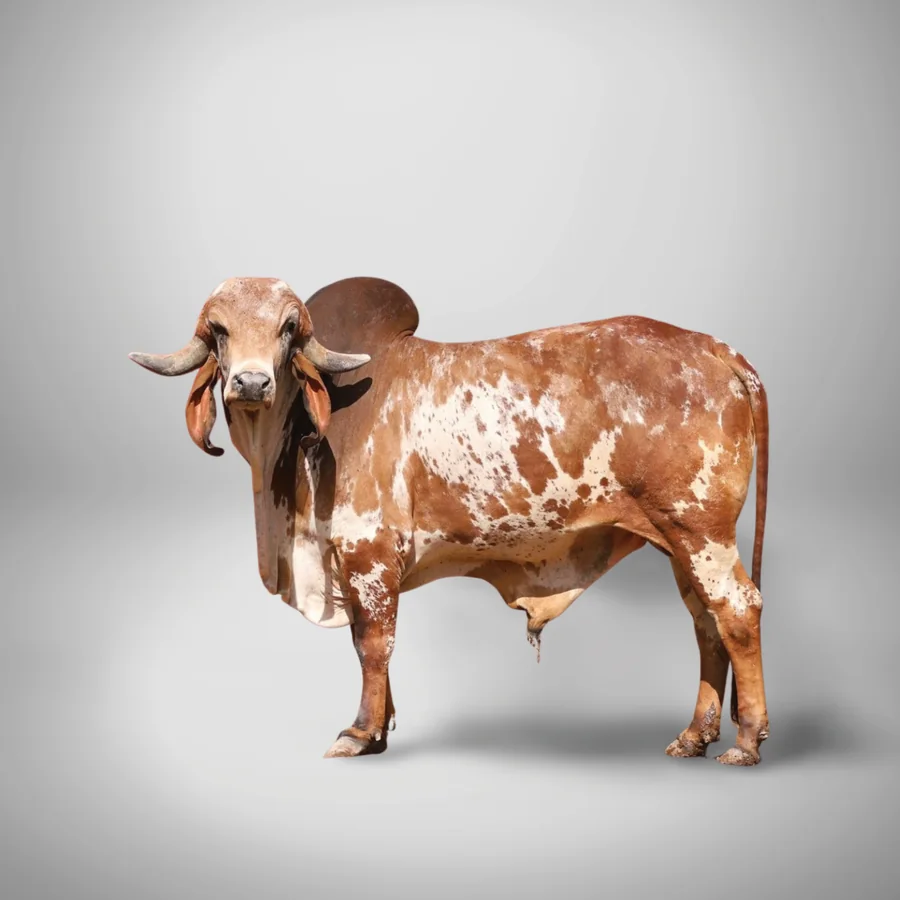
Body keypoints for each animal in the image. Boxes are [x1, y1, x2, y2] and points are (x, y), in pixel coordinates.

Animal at [130, 276, 770, 766]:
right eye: (219, 330)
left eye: (289, 328)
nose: (252, 382)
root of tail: (716, 348)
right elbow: (371, 646)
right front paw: (381, 730)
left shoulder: (369, 556)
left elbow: (373, 644)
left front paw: (360, 733)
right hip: (677, 541)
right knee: (705, 622)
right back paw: (694, 737)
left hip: (701, 531)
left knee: (737, 611)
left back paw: (745, 741)